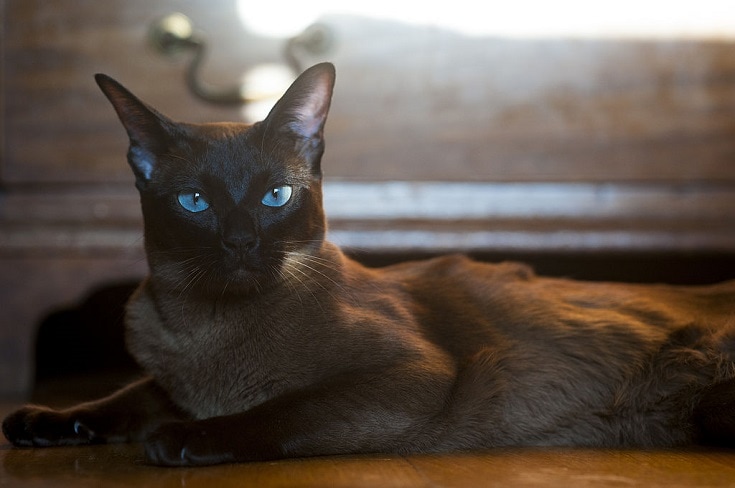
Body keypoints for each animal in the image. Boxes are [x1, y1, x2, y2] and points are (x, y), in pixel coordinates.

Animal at [4, 63, 735, 468]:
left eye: (276, 195)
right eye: (195, 202)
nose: (240, 242)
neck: (204, 332)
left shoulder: (407, 374)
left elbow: (288, 409)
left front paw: (183, 438)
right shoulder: (166, 376)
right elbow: (130, 394)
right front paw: (46, 421)